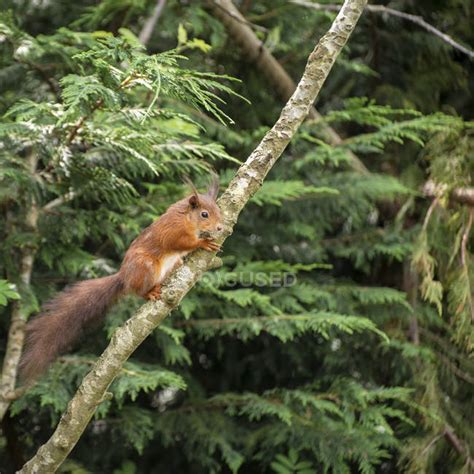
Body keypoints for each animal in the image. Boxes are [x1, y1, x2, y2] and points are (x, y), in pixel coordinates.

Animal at [19, 177, 223, 382]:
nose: (220, 227)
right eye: (204, 214)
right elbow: (181, 243)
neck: (186, 217)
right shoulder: (173, 230)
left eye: (219, 211)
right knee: (138, 291)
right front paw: (203, 242)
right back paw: (151, 292)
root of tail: (124, 277)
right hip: (146, 266)